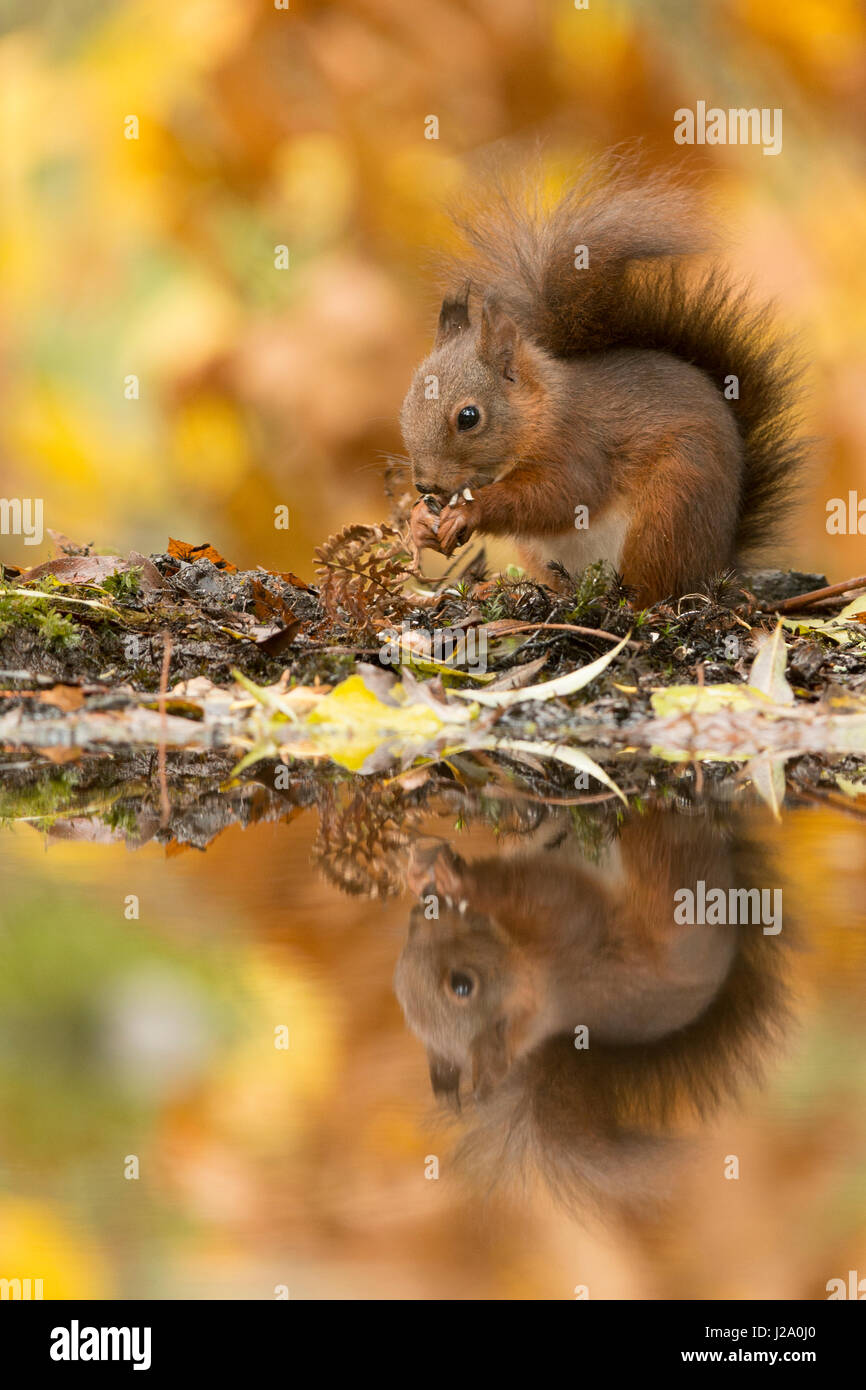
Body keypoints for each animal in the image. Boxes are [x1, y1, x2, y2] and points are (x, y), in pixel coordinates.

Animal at [400, 159, 806, 603]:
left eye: (469, 417)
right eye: (406, 405)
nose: (424, 484)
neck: (540, 412)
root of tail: (720, 565)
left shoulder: (580, 446)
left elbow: (558, 497)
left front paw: (470, 511)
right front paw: (419, 523)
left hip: (671, 510)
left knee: (655, 587)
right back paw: (500, 589)